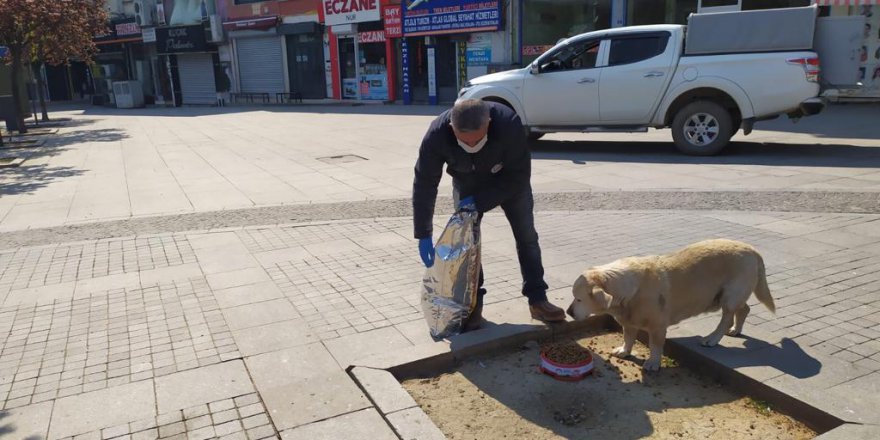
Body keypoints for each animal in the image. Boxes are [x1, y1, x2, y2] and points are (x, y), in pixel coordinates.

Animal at [568, 241, 772, 372]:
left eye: (578, 299)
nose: (568, 312)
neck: (631, 290)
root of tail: (753, 250)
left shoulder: (657, 326)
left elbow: (656, 345)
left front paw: (653, 362)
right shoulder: (629, 321)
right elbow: (628, 337)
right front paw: (625, 351)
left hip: (730, 295)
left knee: (727, 318)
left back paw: (712, 338)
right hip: (732, 296)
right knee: (744, 309)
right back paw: (736, 329)